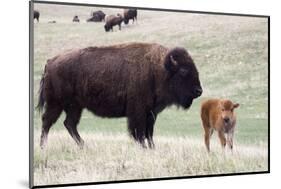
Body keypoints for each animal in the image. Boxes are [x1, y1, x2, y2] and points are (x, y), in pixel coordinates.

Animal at [37, 42, 201, 149]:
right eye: (183, 71)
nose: (199, 91)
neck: (158, 69)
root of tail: (50, 61)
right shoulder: (138, 112)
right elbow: (139, 132)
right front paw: (144, 148)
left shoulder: (151, 113)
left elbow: (149, 133)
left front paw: (152, 148)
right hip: (56, 103)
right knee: (47, 122)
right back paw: (43, 147)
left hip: (75, 106)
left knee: (69, 123)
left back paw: (84, 146)